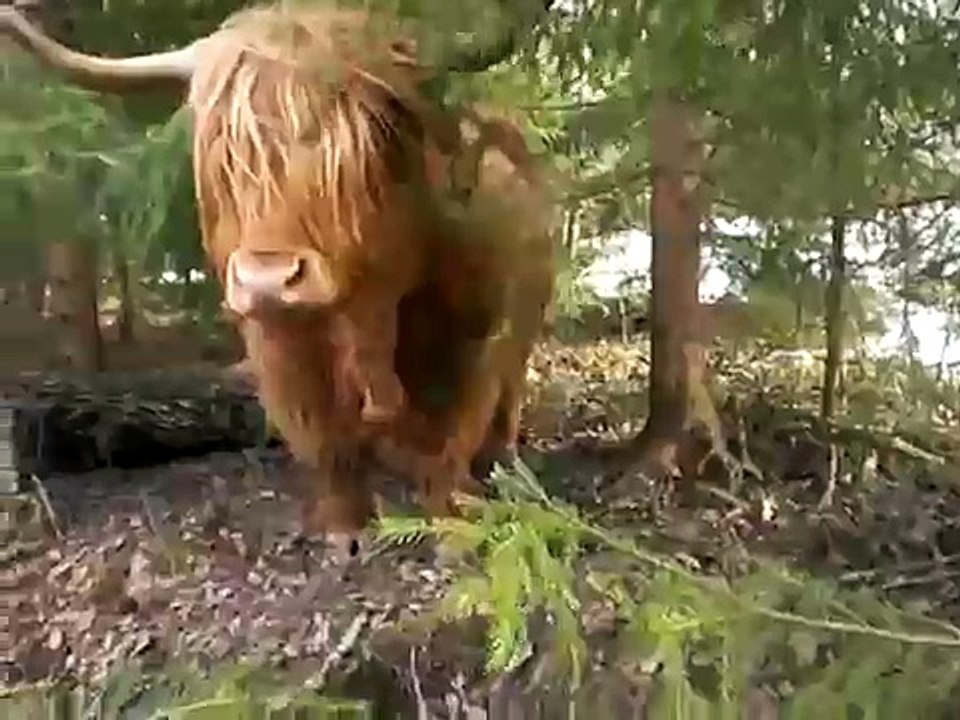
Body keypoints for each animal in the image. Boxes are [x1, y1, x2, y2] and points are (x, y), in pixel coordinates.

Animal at [2, 4, 555, 555]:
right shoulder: (280, 350)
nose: (267, 279)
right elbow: (326, 439)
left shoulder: (475, 334)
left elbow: (453, 434)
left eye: (363, 146)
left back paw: (503, 463)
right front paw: (344, 528)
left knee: (507, 398)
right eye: (224, 156)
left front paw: (452, 527)